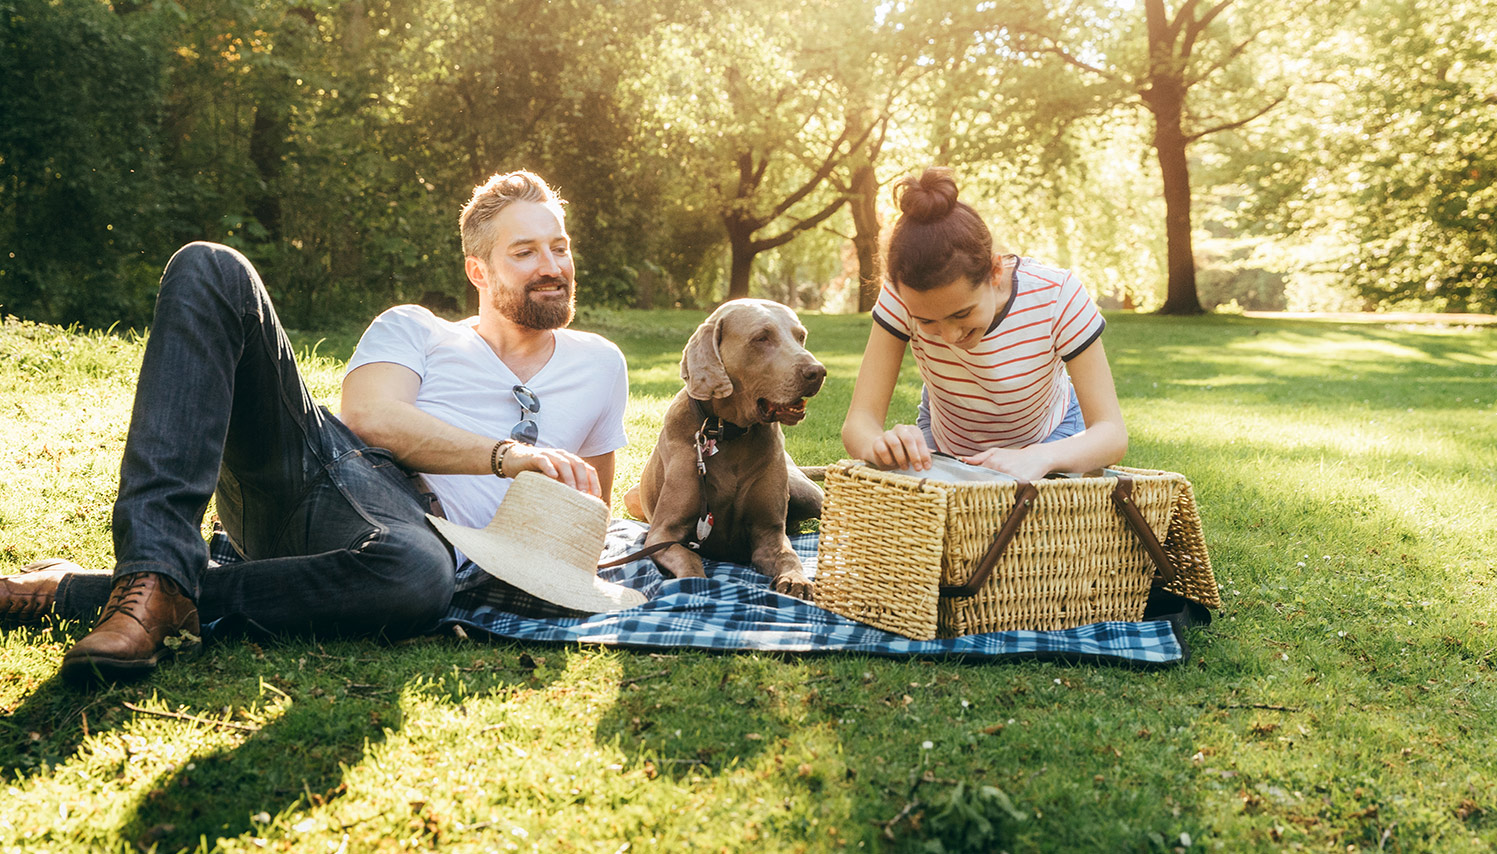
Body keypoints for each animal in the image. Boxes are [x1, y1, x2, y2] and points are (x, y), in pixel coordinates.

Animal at [622, 299, 832, 599]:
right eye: (761, 338)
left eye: (800, 336)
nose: (817, 372)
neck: (728, 432)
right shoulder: (661, 534)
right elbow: (689, 556)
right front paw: (694, 584)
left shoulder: (769, 533)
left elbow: (788, 555)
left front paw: (797, 580)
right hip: (631, 497)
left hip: (804, 491)